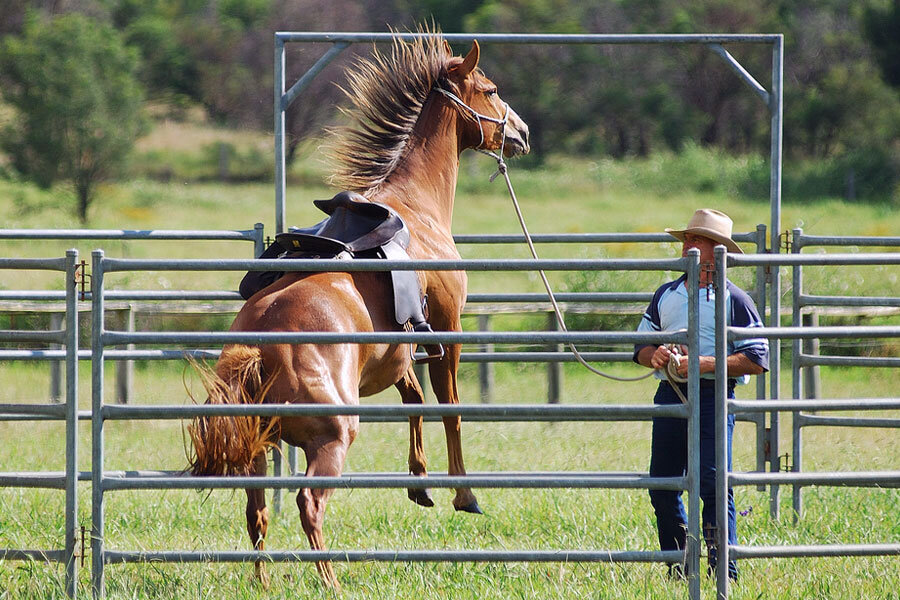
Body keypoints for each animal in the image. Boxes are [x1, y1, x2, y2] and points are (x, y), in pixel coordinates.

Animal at [188, 31, 530, 589]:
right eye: (492, 89)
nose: (521, 131)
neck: (416, 206)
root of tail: (258, 348)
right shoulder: (447, 329)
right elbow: (449, 407)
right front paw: (464, 494)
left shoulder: (399, 350)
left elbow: (414, 399)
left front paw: (420, 483)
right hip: (331, 438)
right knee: (308, 503)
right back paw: (329, 579)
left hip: (258, 447)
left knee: (257, 512)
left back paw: (263, 581)